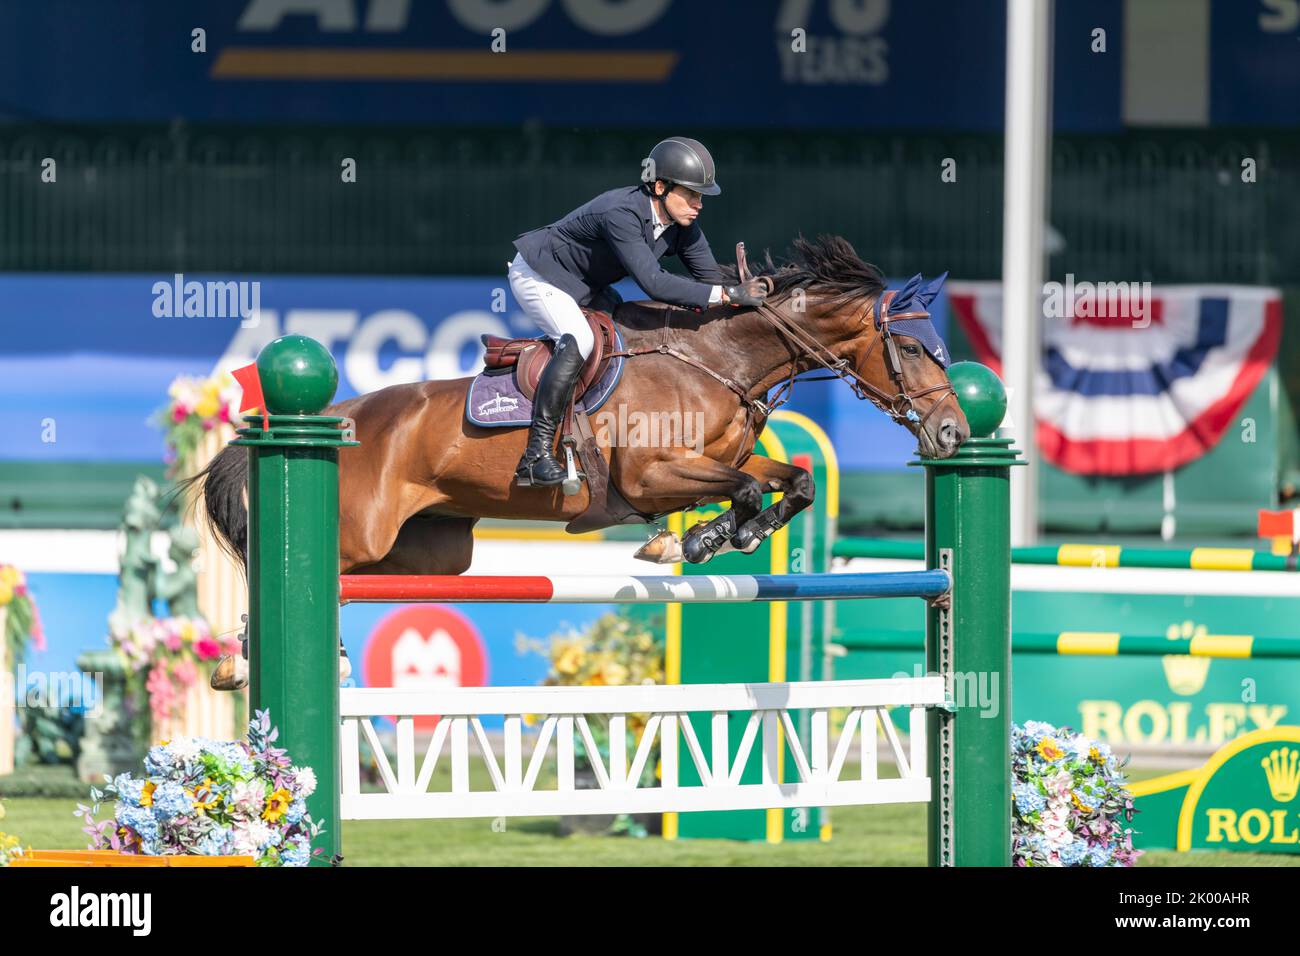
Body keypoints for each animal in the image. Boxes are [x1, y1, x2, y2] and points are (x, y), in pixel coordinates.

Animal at [200, 236, 967, 587]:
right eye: (911, 347)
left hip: (422, 552)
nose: (953, 431)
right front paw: (698, 540)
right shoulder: (652, 476)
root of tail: (344, 416)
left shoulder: (724, 458)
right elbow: (746, 488)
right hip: (354, 541)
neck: (717, 360)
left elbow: (794, 480)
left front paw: (729, 535)